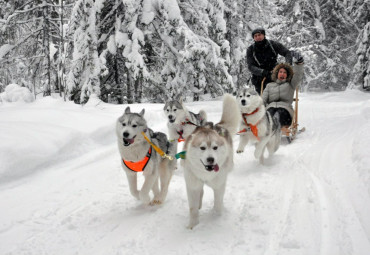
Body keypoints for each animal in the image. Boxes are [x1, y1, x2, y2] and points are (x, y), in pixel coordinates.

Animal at [181, 93, 240, 229]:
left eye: (215, 147)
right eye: (202, 148)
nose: (210, 159)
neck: (206, 174)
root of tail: (218, 125)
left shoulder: (219, 185)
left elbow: (218, 205)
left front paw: (217, 219)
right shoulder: (192, 185)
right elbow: (193, 209)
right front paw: (192, 226)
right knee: (201, 191)